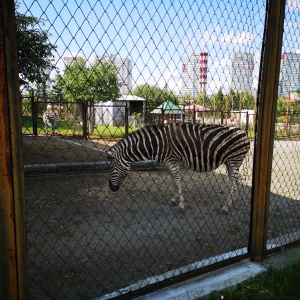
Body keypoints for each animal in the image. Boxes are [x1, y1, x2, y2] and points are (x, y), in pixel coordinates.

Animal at [108, 123, 251, 212]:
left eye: (111, 167)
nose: (111, 188)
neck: (156, 144)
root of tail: (243, 131)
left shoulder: (173, 161)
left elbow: (177, 181)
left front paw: (181, 204)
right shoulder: (170, 163)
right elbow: (174, 181)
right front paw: (174, 199)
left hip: (235, 159)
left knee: (235, 180)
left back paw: (226, 206)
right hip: (229, 161)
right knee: (234, 180)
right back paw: (232, 201)